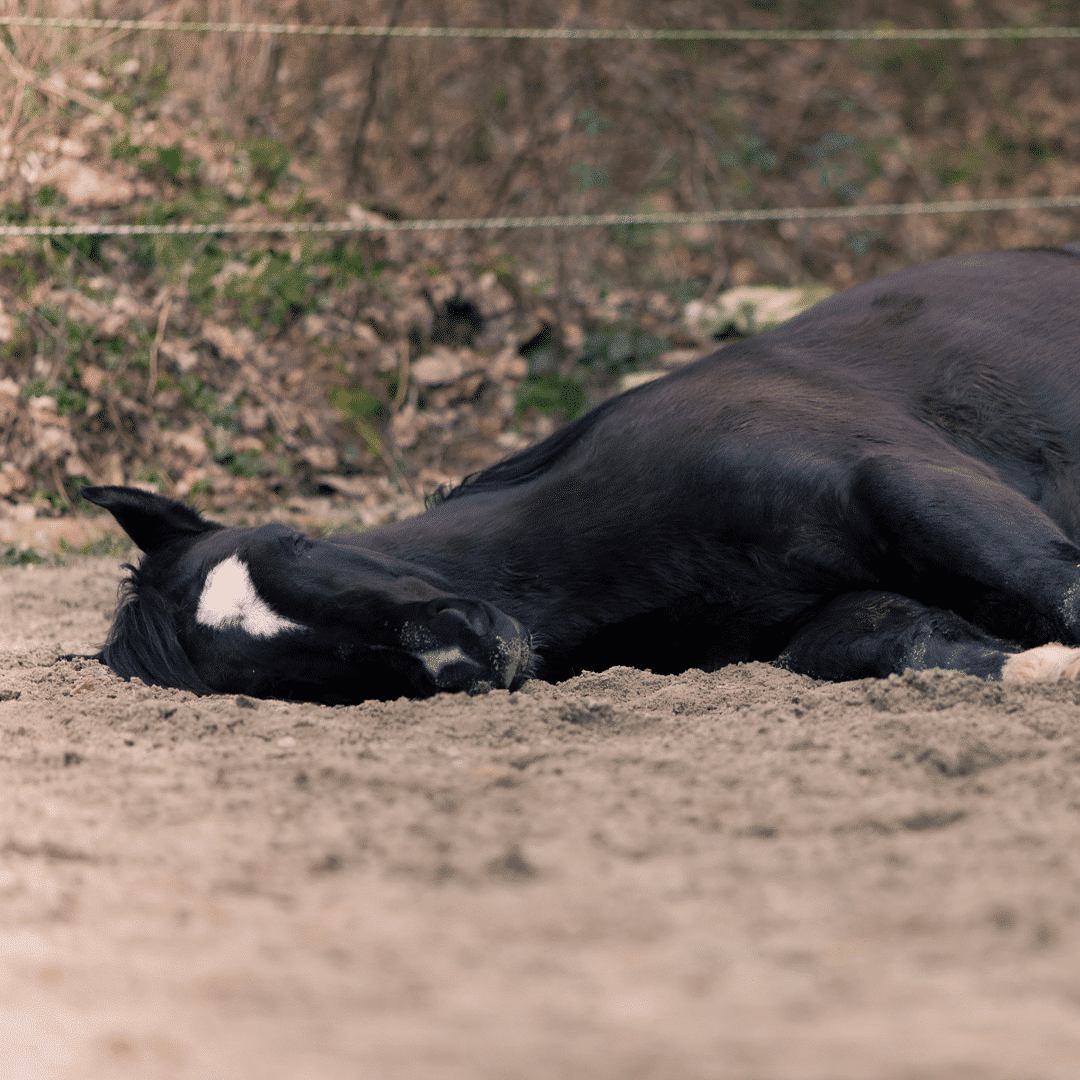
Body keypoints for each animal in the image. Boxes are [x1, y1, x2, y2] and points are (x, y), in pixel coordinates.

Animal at [86, 244, 1080, 699]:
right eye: (275, 672)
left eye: (296, 540)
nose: (463, 646)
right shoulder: (821, 624)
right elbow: (919, 644)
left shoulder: (903, 486)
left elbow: (1051, 588)